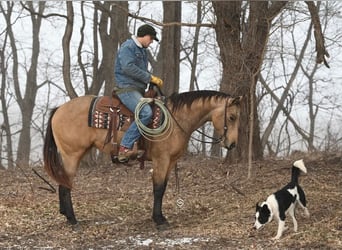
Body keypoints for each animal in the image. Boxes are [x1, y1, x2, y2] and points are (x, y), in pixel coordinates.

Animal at [43, 89, 243, 229]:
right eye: (232, 117)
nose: (233, 144)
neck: (175, 120)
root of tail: (59, 109)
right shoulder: (161, 159)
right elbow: (158, 188)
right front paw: (159, 220)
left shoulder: (170, 161)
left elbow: (163, 187)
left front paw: (161, 217)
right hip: (72, 155)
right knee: (65, 185)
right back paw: (73, 220)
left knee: (63, 182)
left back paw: (66, 215)